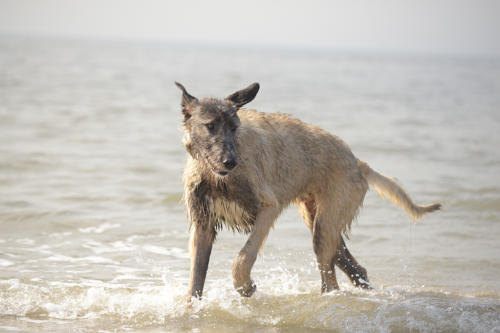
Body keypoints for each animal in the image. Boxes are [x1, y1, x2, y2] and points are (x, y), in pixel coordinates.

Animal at [175, 81, 438, 298]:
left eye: (233, 127)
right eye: (210, 126)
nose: (230, 162)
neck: (219, 178)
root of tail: (358, 162)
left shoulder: (268, 209)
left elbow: (244, 255)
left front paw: (245, 286)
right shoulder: (202, 226)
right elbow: (195, 283)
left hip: (325, 225)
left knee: (331, 280)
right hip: (321, 224)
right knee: (354, 269)